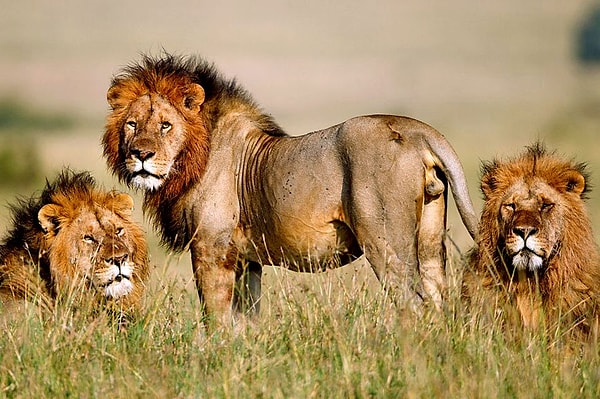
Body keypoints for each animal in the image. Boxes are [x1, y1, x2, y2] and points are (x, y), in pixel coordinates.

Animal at [104, 53, 478, 328]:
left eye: (166, 125)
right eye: (132, 124)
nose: (140, 155)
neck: (193, 157)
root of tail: (418, 131)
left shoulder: (211, 249)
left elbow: (217, 318)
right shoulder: (246, 260)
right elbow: (246, 322)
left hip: (385, 241)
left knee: (413, 304)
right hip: (430, 239)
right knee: (438, 299)